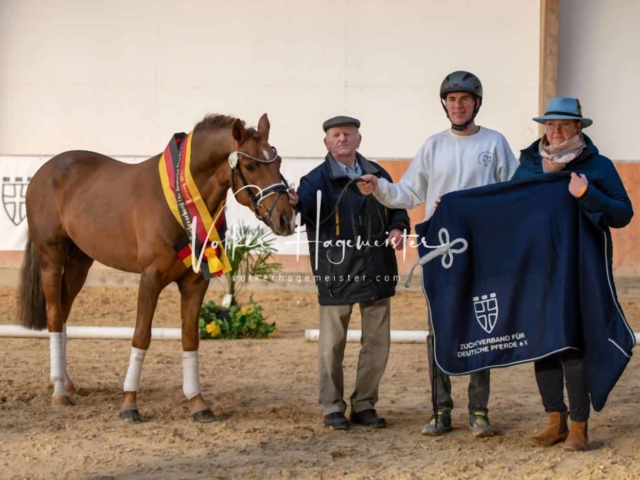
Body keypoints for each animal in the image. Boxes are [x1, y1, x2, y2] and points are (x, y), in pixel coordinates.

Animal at [18, 114, 296, 422]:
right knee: (55, 316)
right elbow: (141, 335)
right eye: (250, 166)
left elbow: (190, 339)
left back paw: (66, 382)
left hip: (80, 261)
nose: (286, 219)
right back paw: (59, 391)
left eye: (278, 163)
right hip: (51, 257)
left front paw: (198, 402)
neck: (180, 200)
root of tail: (45, 170)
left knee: (64, 312)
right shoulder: (150, 278)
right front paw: (129, 404)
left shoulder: (195, 283)